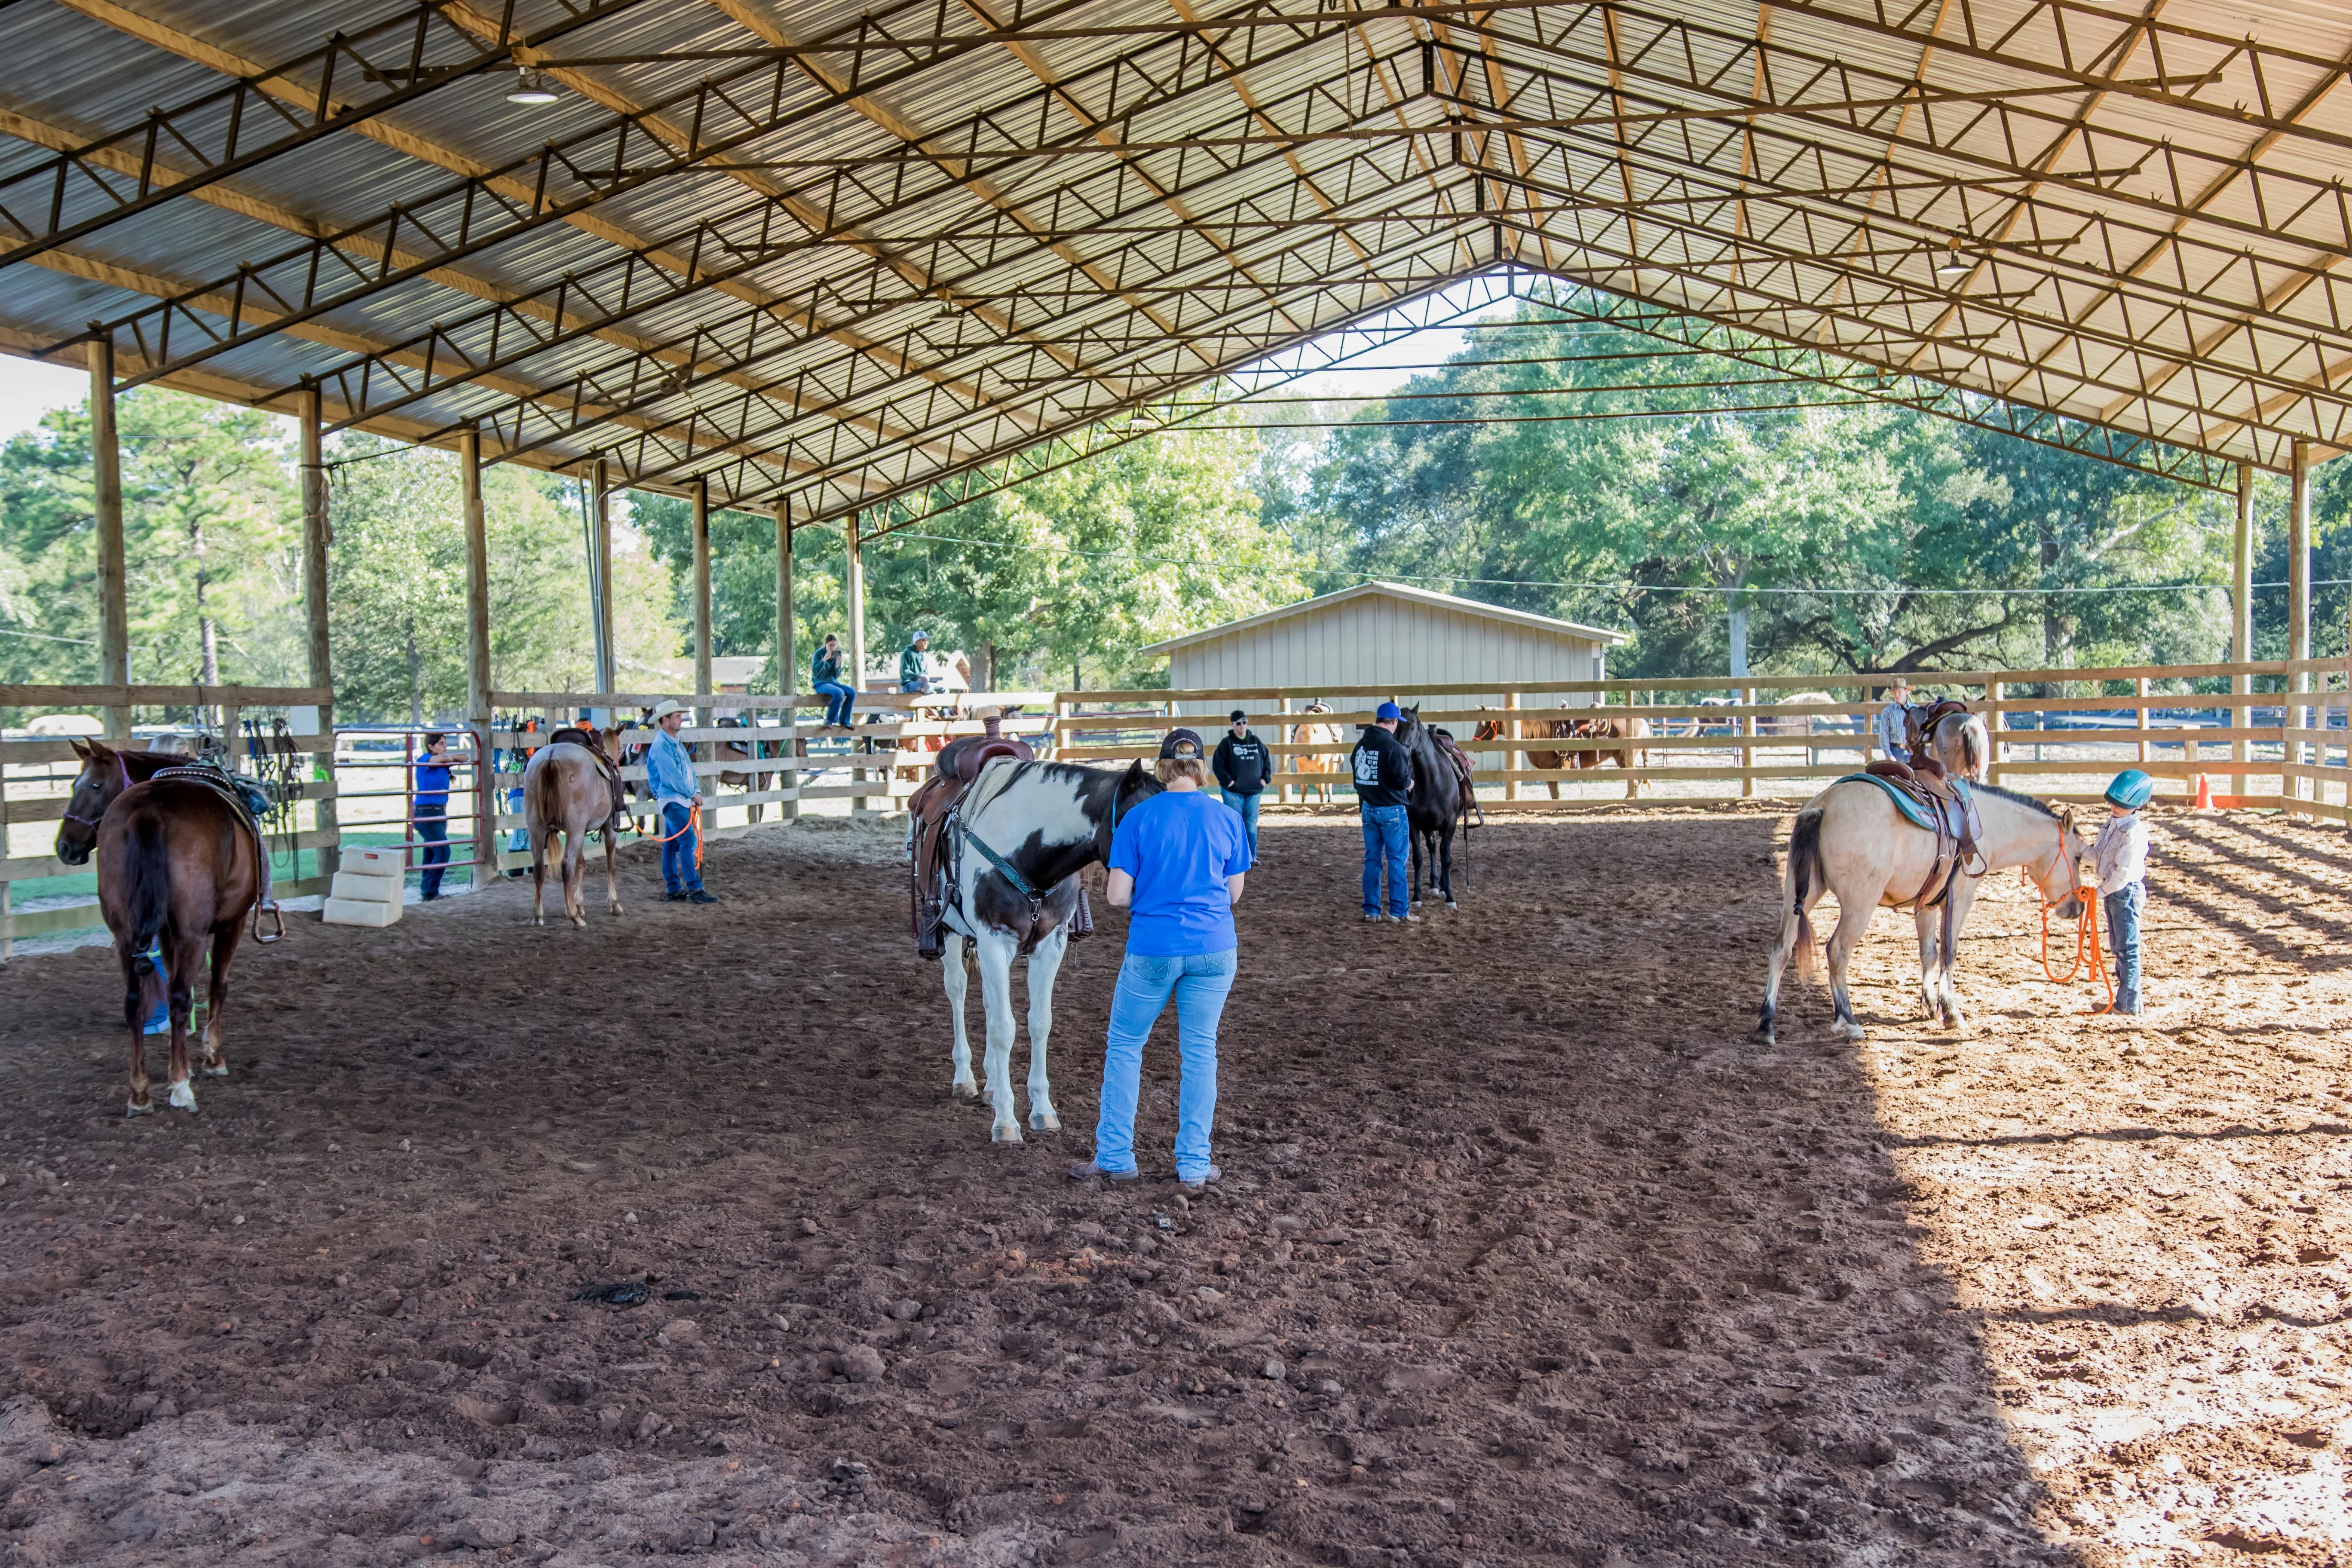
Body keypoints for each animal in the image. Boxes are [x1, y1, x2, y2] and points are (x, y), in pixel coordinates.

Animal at [53, 738, 269, 1114]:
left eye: (94, 785)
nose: (65, 847)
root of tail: (150, 811)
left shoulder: (166, 934)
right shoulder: (232, 924)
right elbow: (216, 987)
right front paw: (210, 1059)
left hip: (125, 937)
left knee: (134, 1002)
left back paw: (140, 1092)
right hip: (193, 935)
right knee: (181, 996)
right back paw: (181, 1088)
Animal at [1392, 710, 1467, 912]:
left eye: (1412, 726)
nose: (1401, 751)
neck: (1432, 779)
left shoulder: (1450, 824)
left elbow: (1447, 858)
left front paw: (1450, 896)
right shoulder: (1414, 825)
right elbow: (1418, 859)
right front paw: (1416, 897)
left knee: (1440, 851)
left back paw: (1441, 886)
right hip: (1428, 826)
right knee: (1433, 847)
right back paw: (1435, 885)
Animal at [1750, 771, 2098, 1044]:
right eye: (2079, 857)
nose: (2076, 908)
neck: (1986, 823)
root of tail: (1822, 807)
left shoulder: (1928, 906)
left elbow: (1928, 953)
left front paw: (1930, 1005)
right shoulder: (1961, 896)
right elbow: (1949, 953)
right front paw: (1952, 1013)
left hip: (1800, 892)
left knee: (1782, 947)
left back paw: (1767, 1023)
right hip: (1859, 905)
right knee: (1837, 951)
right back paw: (1847, 1021)